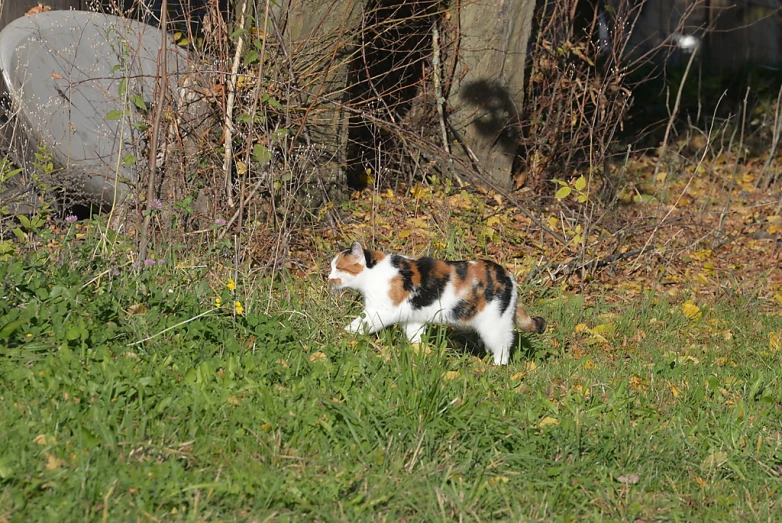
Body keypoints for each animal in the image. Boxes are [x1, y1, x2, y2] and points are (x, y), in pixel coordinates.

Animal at [330, 242, 544, 364]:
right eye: (332, 267)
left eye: (338, 268)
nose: (328, 277)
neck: (374, 274)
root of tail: (509, 276)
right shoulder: (413, 318)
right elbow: (414, 337)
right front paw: (417, 353)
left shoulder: (381, 310)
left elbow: (360, 324)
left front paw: (344, 335)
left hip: (494, 324)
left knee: (504, 344)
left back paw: (497, 366)